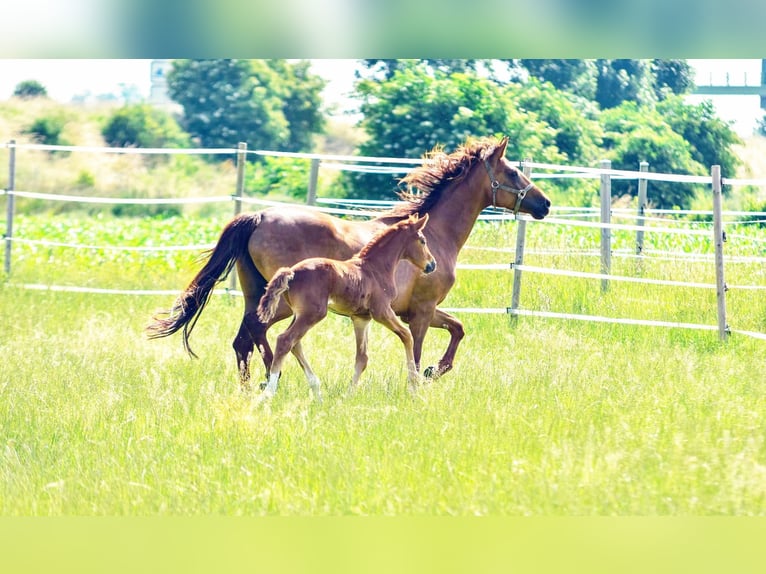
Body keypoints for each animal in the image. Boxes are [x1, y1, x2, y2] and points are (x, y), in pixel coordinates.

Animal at [256, 213, 436, 401]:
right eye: (422, 241)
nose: (432, 265)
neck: (375, 268)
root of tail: (292, 272)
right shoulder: (382, 311)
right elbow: (407, 335)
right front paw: (414, 386)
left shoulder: (361, 318)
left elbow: (362, 358)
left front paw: (348, 394)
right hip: (313, 314)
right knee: (285, 340)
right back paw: (269, 392)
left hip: (300, 314)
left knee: (295, 344)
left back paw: (317, 392)